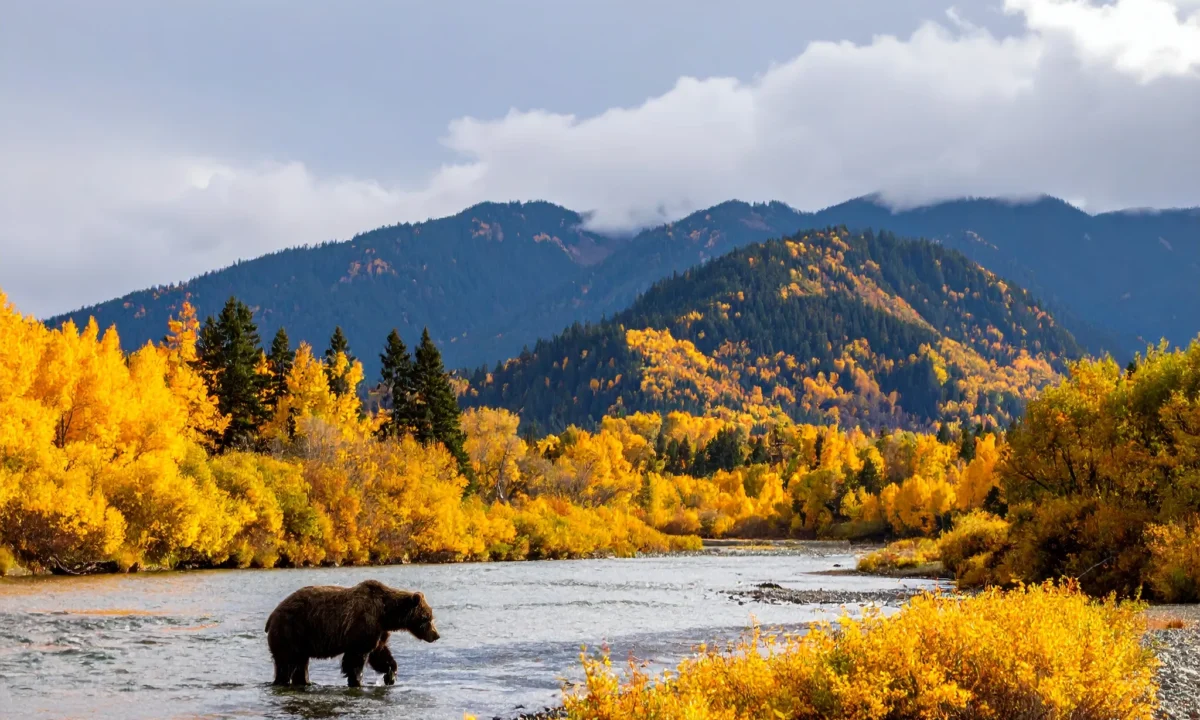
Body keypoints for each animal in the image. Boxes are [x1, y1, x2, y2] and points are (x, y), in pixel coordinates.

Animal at [264, 579, 439, 687]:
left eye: (431, 616)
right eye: (427, 617)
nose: (436, 635)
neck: (386, 614)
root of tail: (272, 615)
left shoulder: (379, 631)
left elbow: (380, 654)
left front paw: (390, 676)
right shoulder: (363, 626)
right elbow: (355, 659)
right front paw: (357, 681)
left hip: (301, 640)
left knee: (301, 664)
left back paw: (305, 682)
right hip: (291, 630)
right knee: (286, 663)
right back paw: (283, 681)